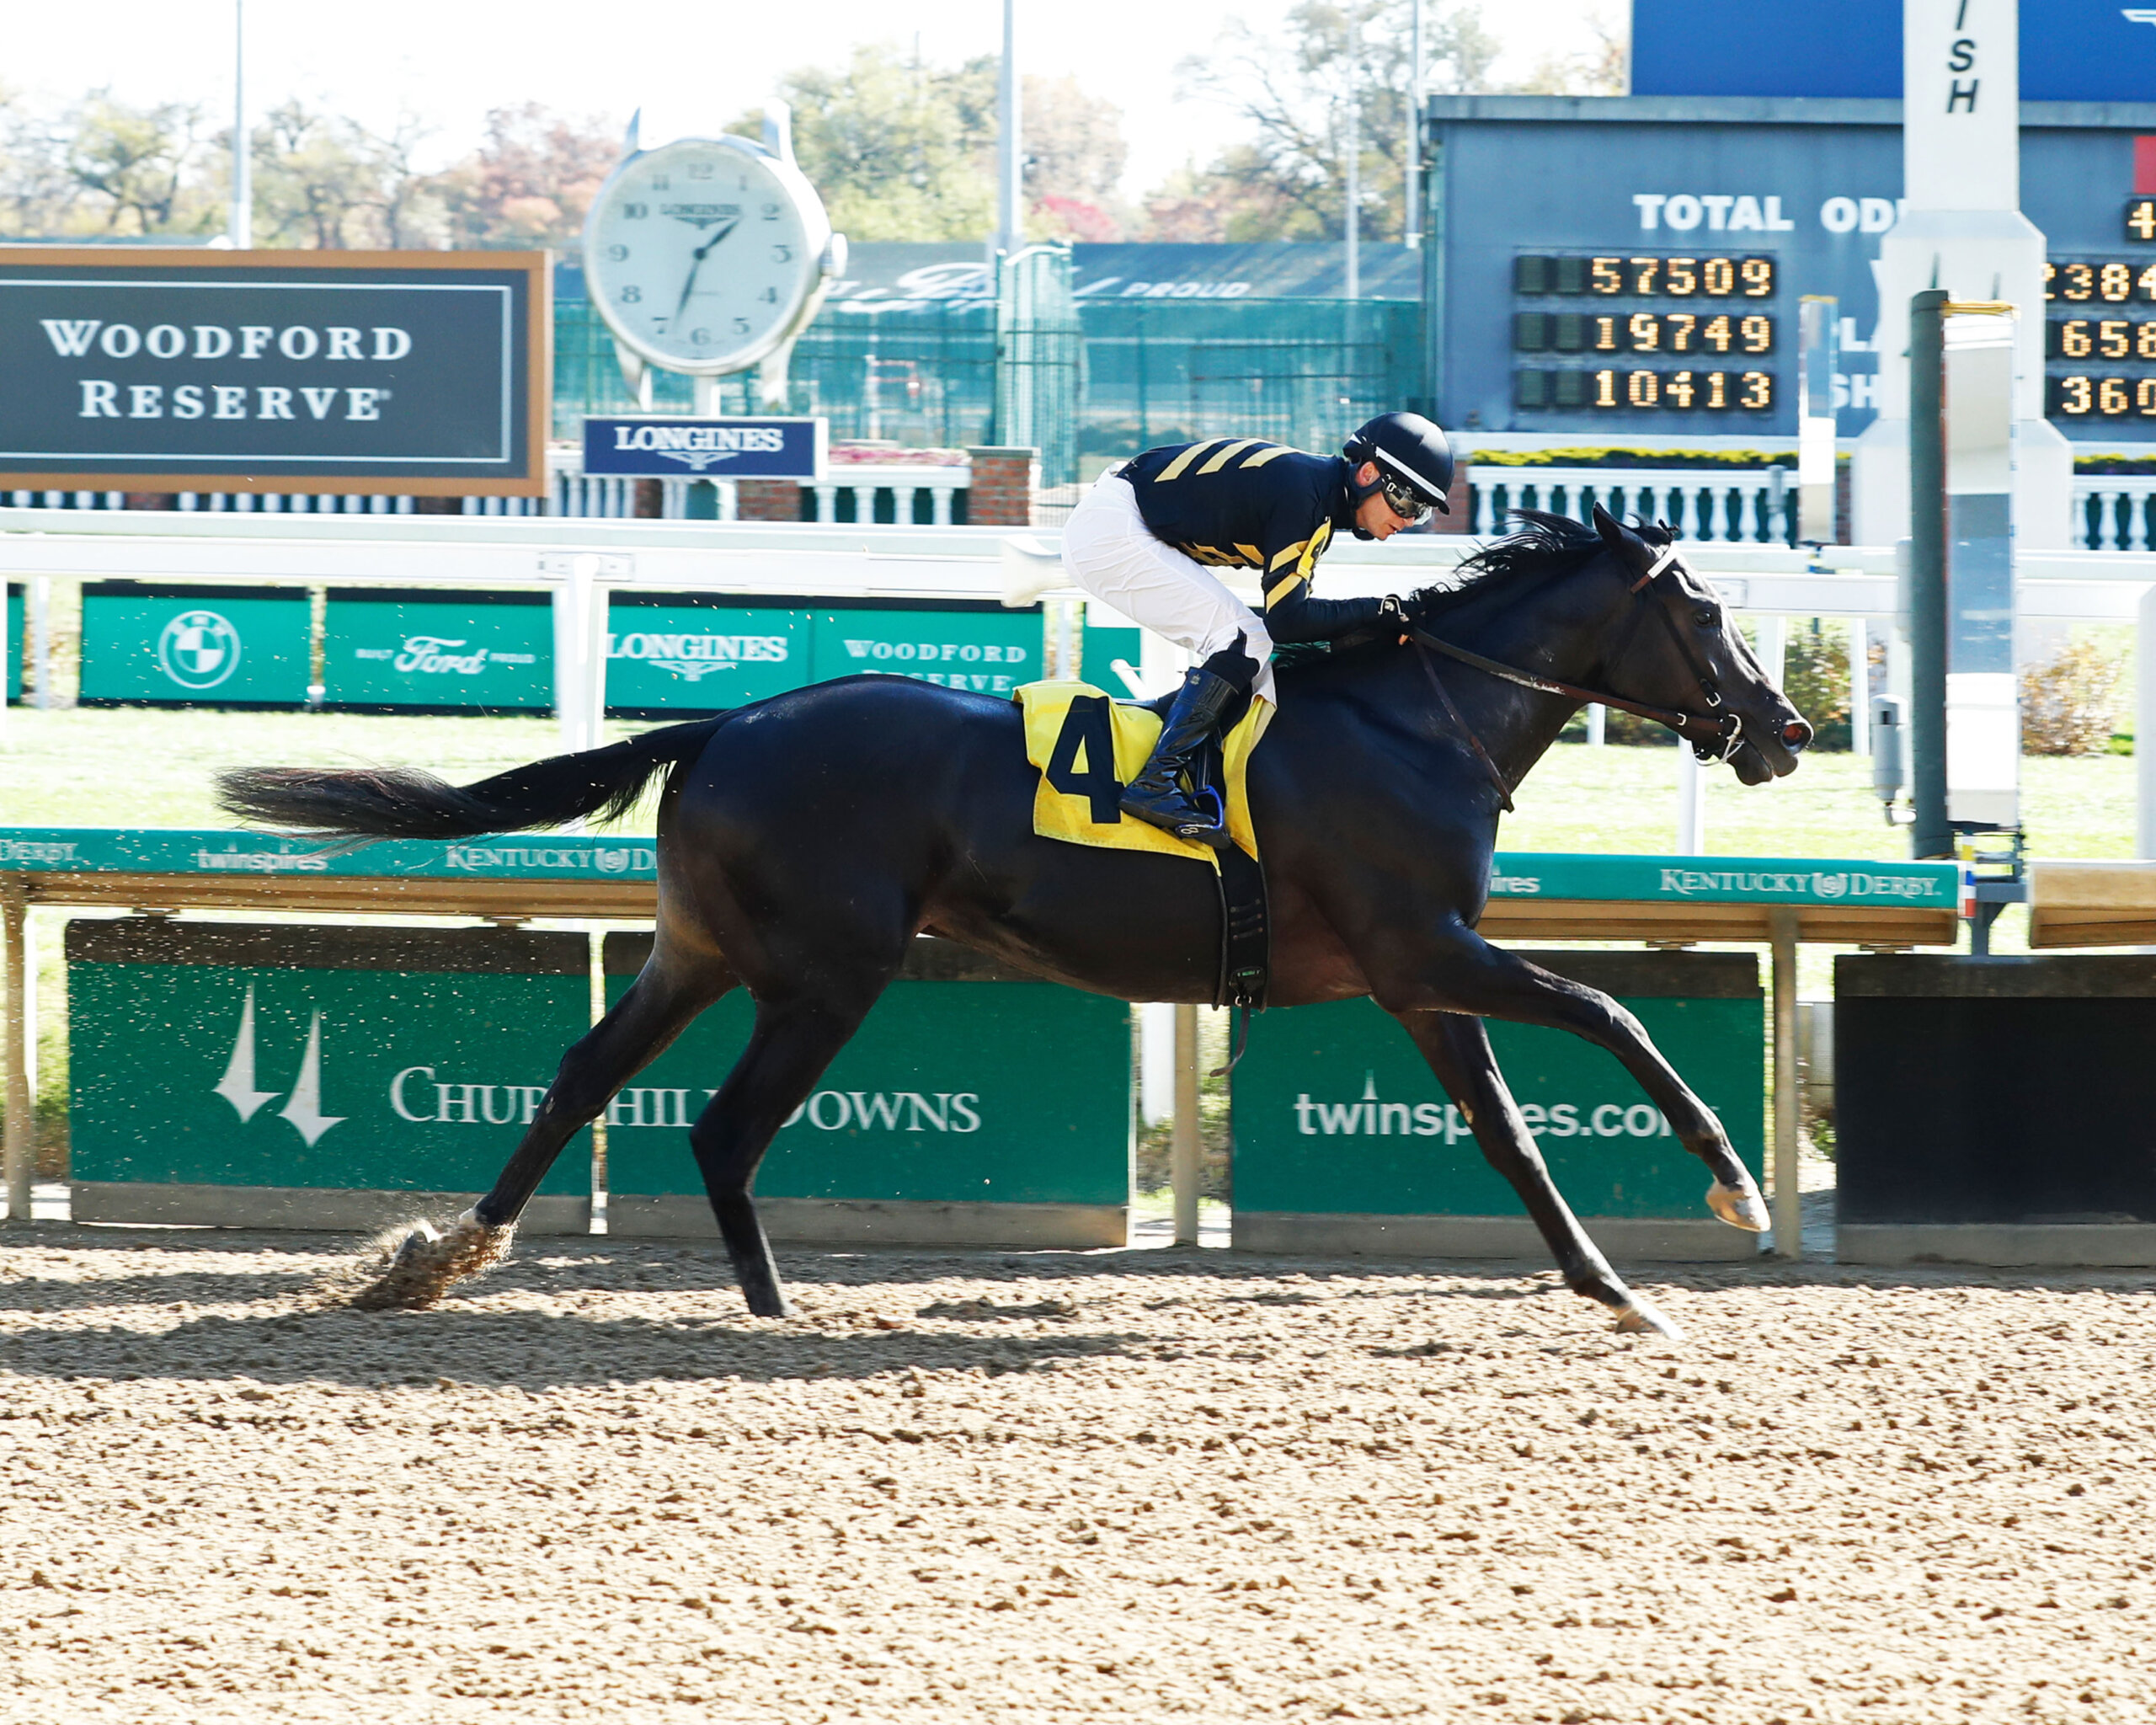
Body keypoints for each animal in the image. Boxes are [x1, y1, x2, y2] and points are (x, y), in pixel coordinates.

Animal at [222, 505, 1802, 1337]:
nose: (1786, 730)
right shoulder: (1425, 948)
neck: (1416, 722)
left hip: (702, 950)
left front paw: (1614, 1288)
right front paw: (1736, 1188)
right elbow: (1616, 1011)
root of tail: (728, 720)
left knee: (583, 1076)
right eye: (1706, 612)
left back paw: (439, 1258)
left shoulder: (1418, 980)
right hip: (826, 974)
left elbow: (1512, 1134)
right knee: (722, 1126)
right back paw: (771, 1307)